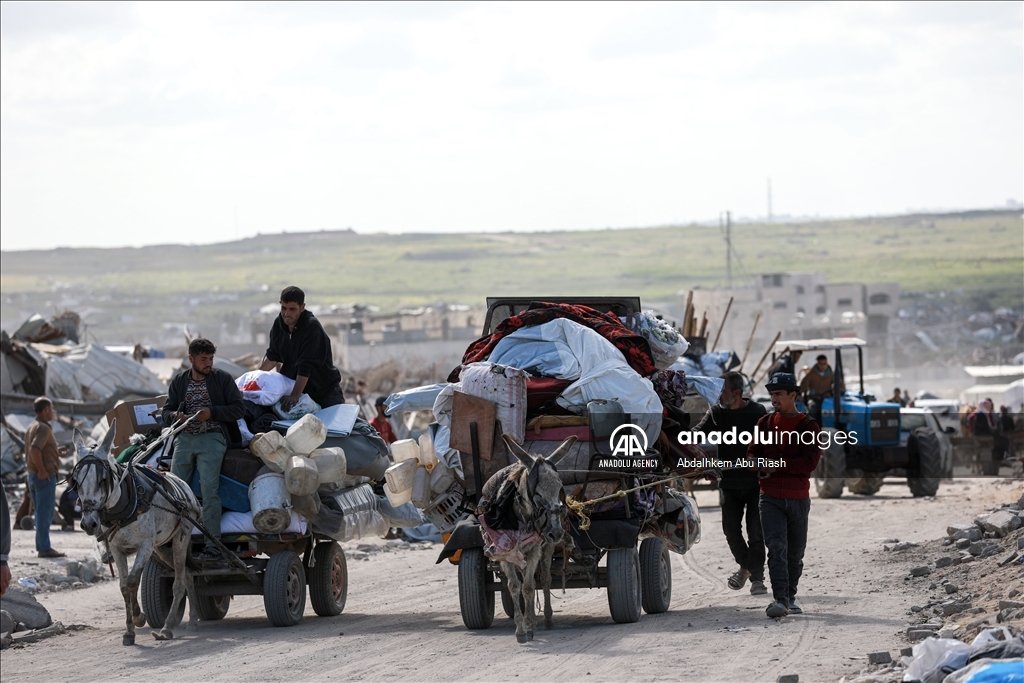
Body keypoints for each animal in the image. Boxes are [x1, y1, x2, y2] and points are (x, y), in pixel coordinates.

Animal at [67, 421, 199, 647]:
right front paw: (130, 630)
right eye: (75, 481)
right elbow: (123, 586)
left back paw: (167, 628)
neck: (128, 502)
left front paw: (138, 618)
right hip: (161, 548)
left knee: (179, 581)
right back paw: (192, 620)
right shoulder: (117, 548)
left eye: (103, 479)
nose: (88, 523)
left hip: (180, 538)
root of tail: (184, 485)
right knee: (188, 574)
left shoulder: (144, 546)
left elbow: (131, 581)